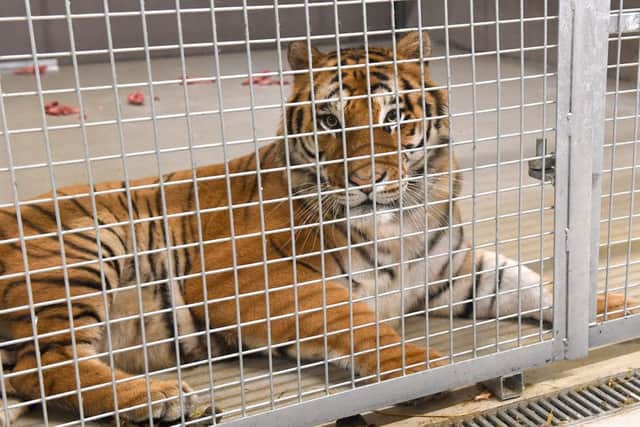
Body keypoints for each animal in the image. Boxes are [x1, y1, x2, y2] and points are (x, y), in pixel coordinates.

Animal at [0, 31, 635, 425]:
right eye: (329, 121)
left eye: (394, 117)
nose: (365, 181)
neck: (398, 221)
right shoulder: (249, 278)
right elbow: (352, 321)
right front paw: (425, 370)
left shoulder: (453, 272)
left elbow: (536, 285)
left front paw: (612, 308)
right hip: (89, 243)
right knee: (43, 367)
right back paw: (164, 397)